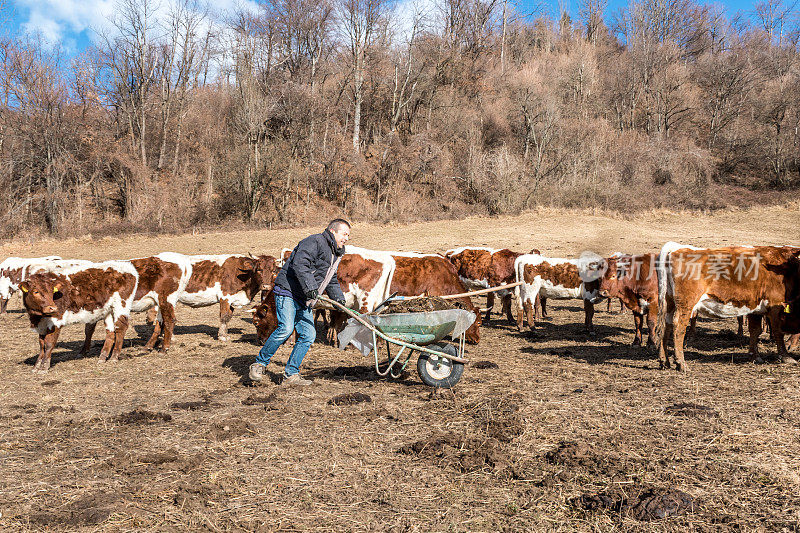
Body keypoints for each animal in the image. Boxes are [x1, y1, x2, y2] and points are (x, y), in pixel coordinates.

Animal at [652, 241, 800, 370]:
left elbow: (755, 331)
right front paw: (786, 356)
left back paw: (664, 361)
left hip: (669, 302)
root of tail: (676, 247)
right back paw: (681, 363)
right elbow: (777, 331)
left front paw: (754, 356)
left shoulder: (756, 308)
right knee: (678, 327)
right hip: (686, 304)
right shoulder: (776, 306)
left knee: (666, 326)